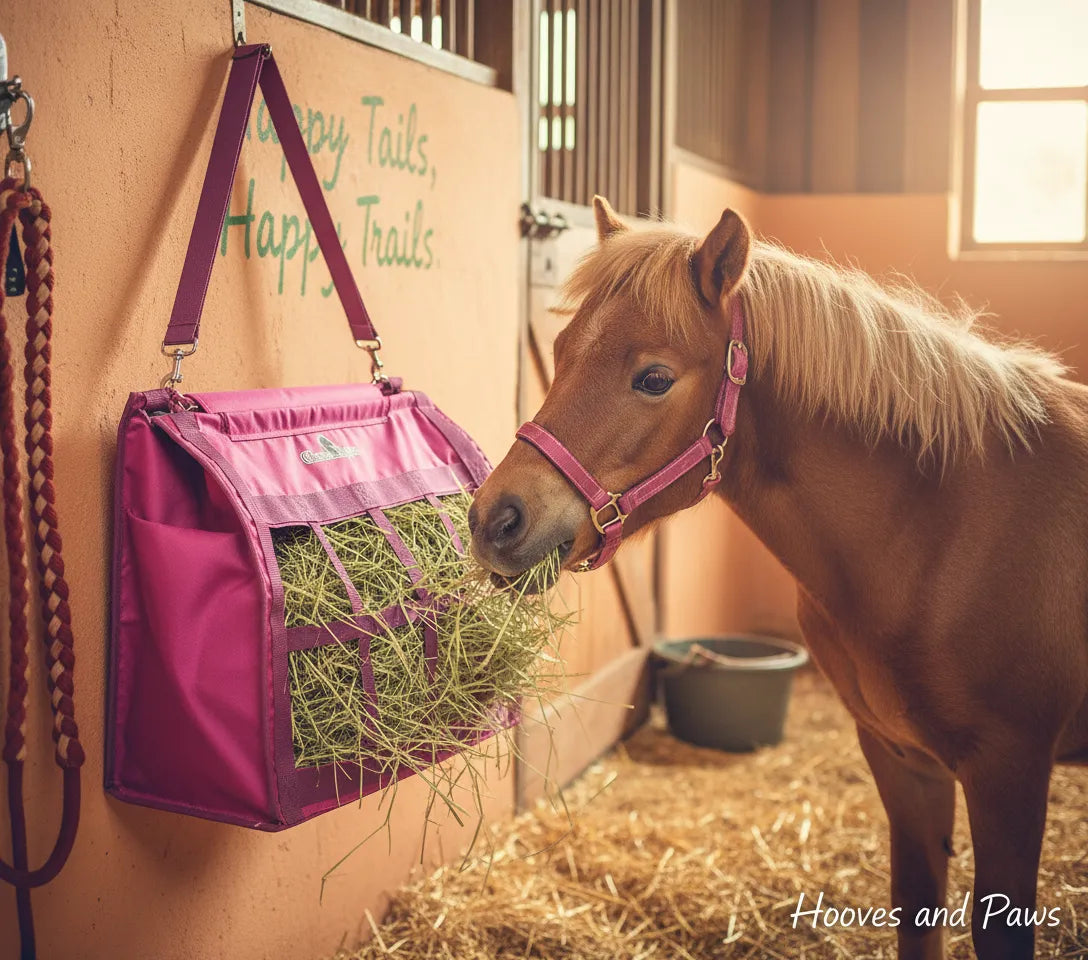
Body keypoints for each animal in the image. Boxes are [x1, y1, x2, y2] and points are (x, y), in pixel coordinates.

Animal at [468, 196, 1088, 960]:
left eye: (654, 378)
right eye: (558, 353)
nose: (495, 520)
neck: (943, 528)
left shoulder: (1010, 773)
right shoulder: (903, 759)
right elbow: (918, 905)